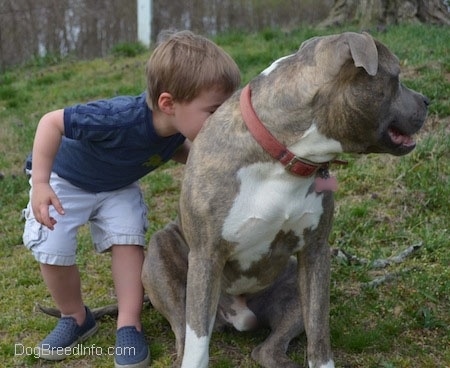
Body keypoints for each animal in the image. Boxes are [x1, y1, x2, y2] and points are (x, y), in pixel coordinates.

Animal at [142, 32, 428, 368]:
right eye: (396, 77)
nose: (426, 100)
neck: (282, 156)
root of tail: (236, 315)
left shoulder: (315, 253)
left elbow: (319, 334)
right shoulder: (206, 256)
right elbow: (197, 344)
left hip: (291, 286)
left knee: (266, 349)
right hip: (162, 255)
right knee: (183, 332)